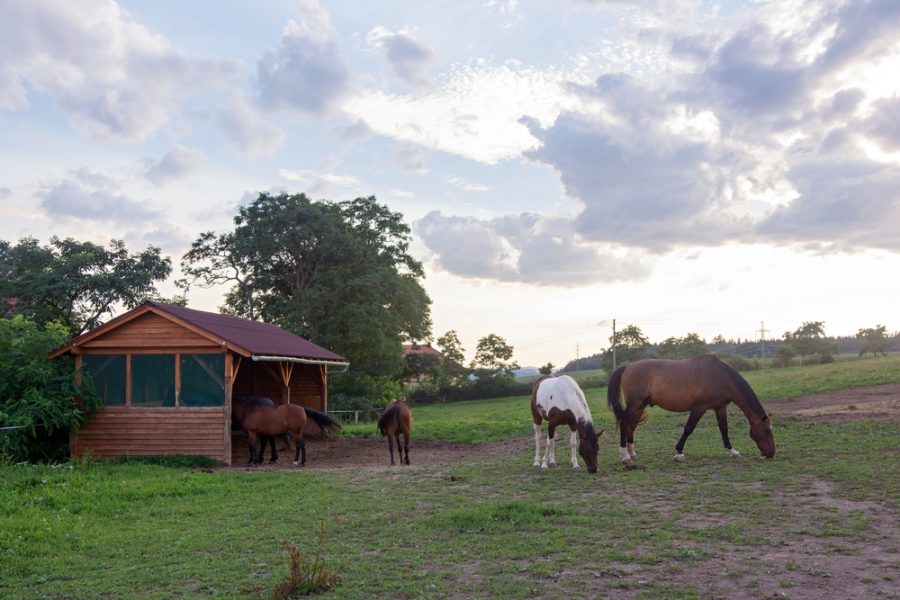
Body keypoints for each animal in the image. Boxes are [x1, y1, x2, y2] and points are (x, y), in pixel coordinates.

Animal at [608, 354, 776, 466]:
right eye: (767, 430)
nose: (771, 453)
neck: (721, 376)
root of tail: (627, 367)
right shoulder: (699, 408)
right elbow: (688, 429)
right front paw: (679, 453)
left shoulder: (720, 407)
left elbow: (724, 429)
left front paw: (732, 451)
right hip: (635, 403)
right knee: (624, 424)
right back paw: (625, 456)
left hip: (640, 405)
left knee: (631, 425)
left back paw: (632, 453)